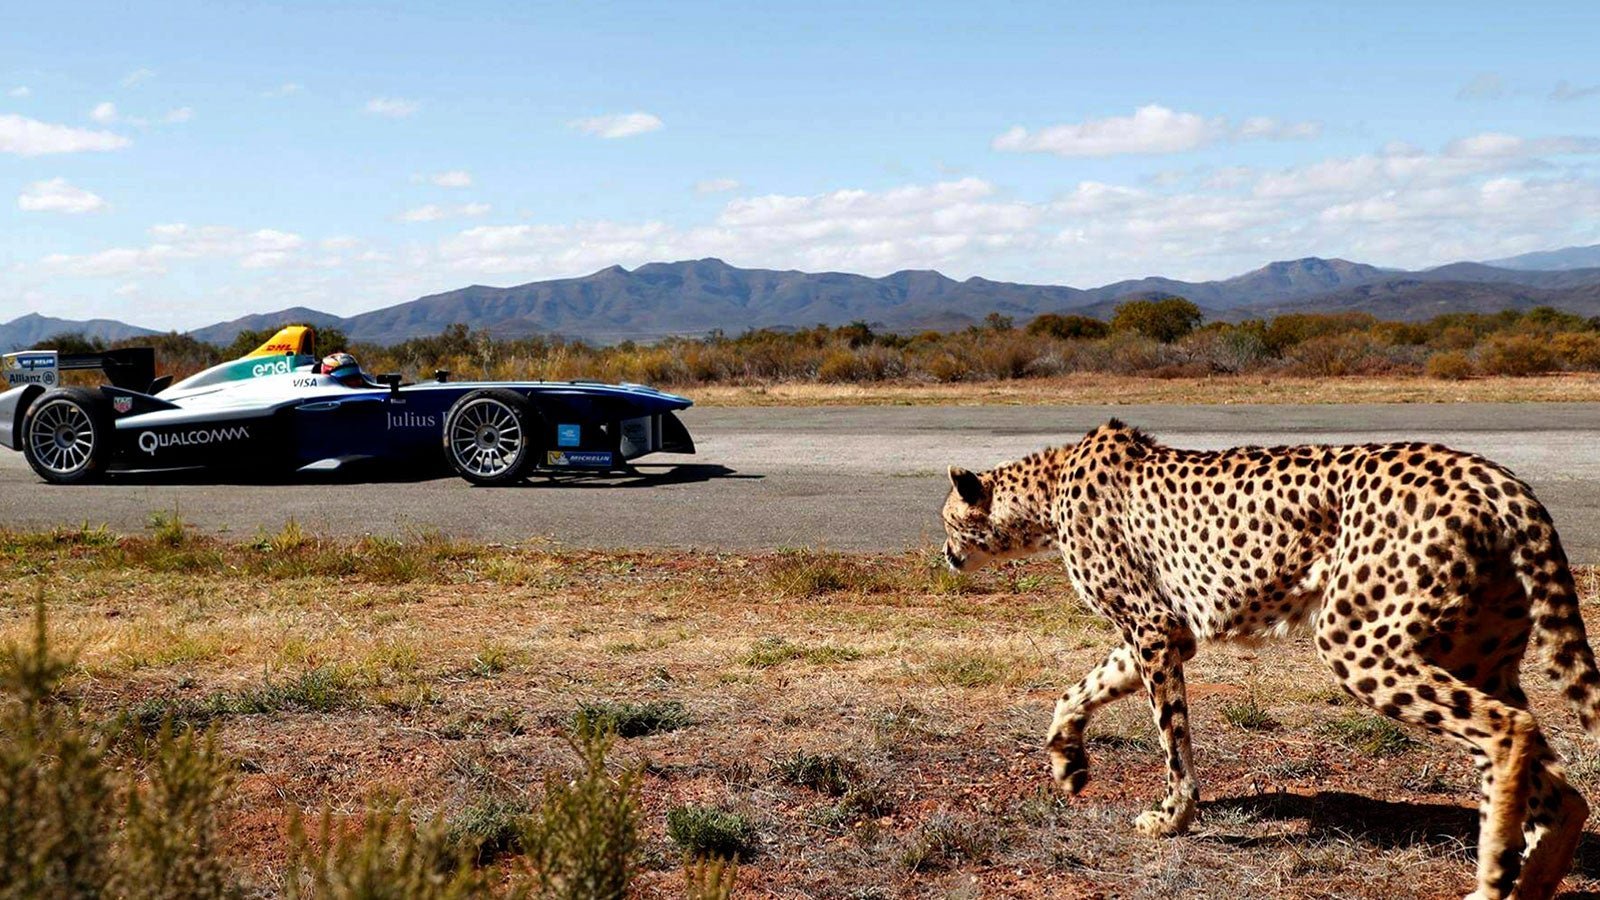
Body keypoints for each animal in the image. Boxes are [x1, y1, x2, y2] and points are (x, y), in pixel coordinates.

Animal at [940, 419, 1593, 896]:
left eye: (947, 519)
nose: (946, 554)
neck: (1047, 491)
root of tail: (1491, 475)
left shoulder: (1155, 631)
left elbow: (1171, 736)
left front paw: (1174, 816)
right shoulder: (1166, 632)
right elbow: (1078, 690)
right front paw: (1068, 762)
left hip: (1358, 643)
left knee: (1508, 731)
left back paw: (1493, 877)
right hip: (1476, 658)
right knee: (1561, 786)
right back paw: (1531, 877)